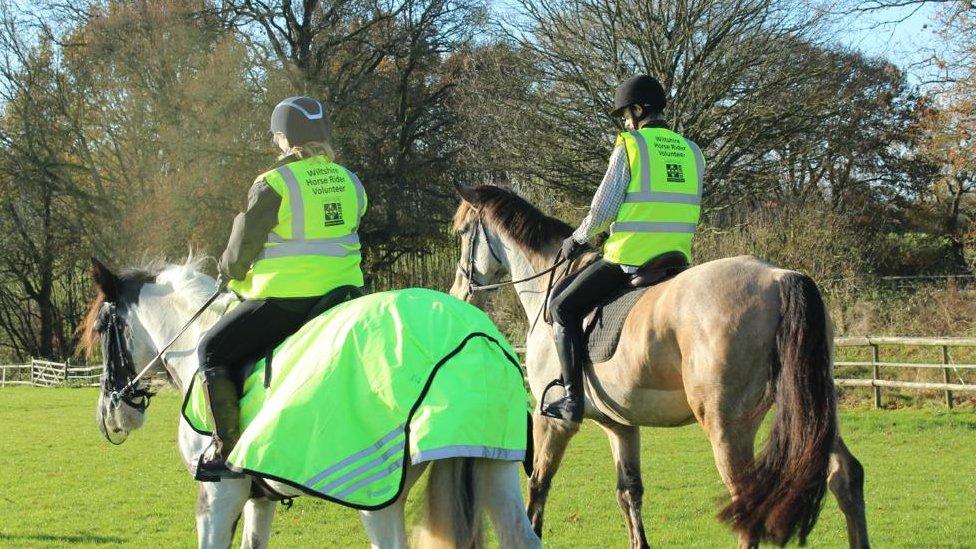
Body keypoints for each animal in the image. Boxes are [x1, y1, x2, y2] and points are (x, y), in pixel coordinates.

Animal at [450, 185, 868, 548]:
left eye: (464, 232)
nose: (460, 293)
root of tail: (780, 278)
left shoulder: (552, 420)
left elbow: (538, 487)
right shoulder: (620, 426)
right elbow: (629, 493)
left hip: (727, 425)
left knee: (747, 504)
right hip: (810, 411)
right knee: (845, 477)